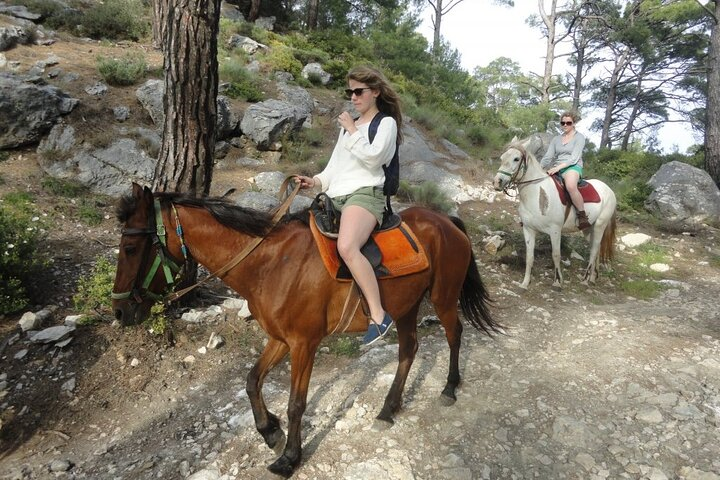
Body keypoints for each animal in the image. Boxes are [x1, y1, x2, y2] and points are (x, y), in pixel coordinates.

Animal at [112, 183, 498, 476]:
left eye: (130, 247)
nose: (119, 311)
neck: (270, 263)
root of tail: (447, 221)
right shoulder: (279, 338)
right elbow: (252, 381)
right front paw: (269, 431)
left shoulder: (303, 343)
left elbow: (297, 403)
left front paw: (289, 457)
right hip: (406, 307)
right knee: (409, 349)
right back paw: (388, 409)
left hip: (443, 298)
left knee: (454, 334)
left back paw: (449, 388)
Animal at [492, 139, 616, 288]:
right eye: (502, 158)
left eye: (516, 159)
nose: (497, 182)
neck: (536, 193)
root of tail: (609, 190)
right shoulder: (528, 229)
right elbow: (529, 256)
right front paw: (525, 283)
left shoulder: (555, 230)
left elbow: (556, 255)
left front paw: (557, 282)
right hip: (588, 229)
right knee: (596, 249)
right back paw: (592, 278)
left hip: (599, 226)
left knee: (593, 251)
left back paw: (585, 280)